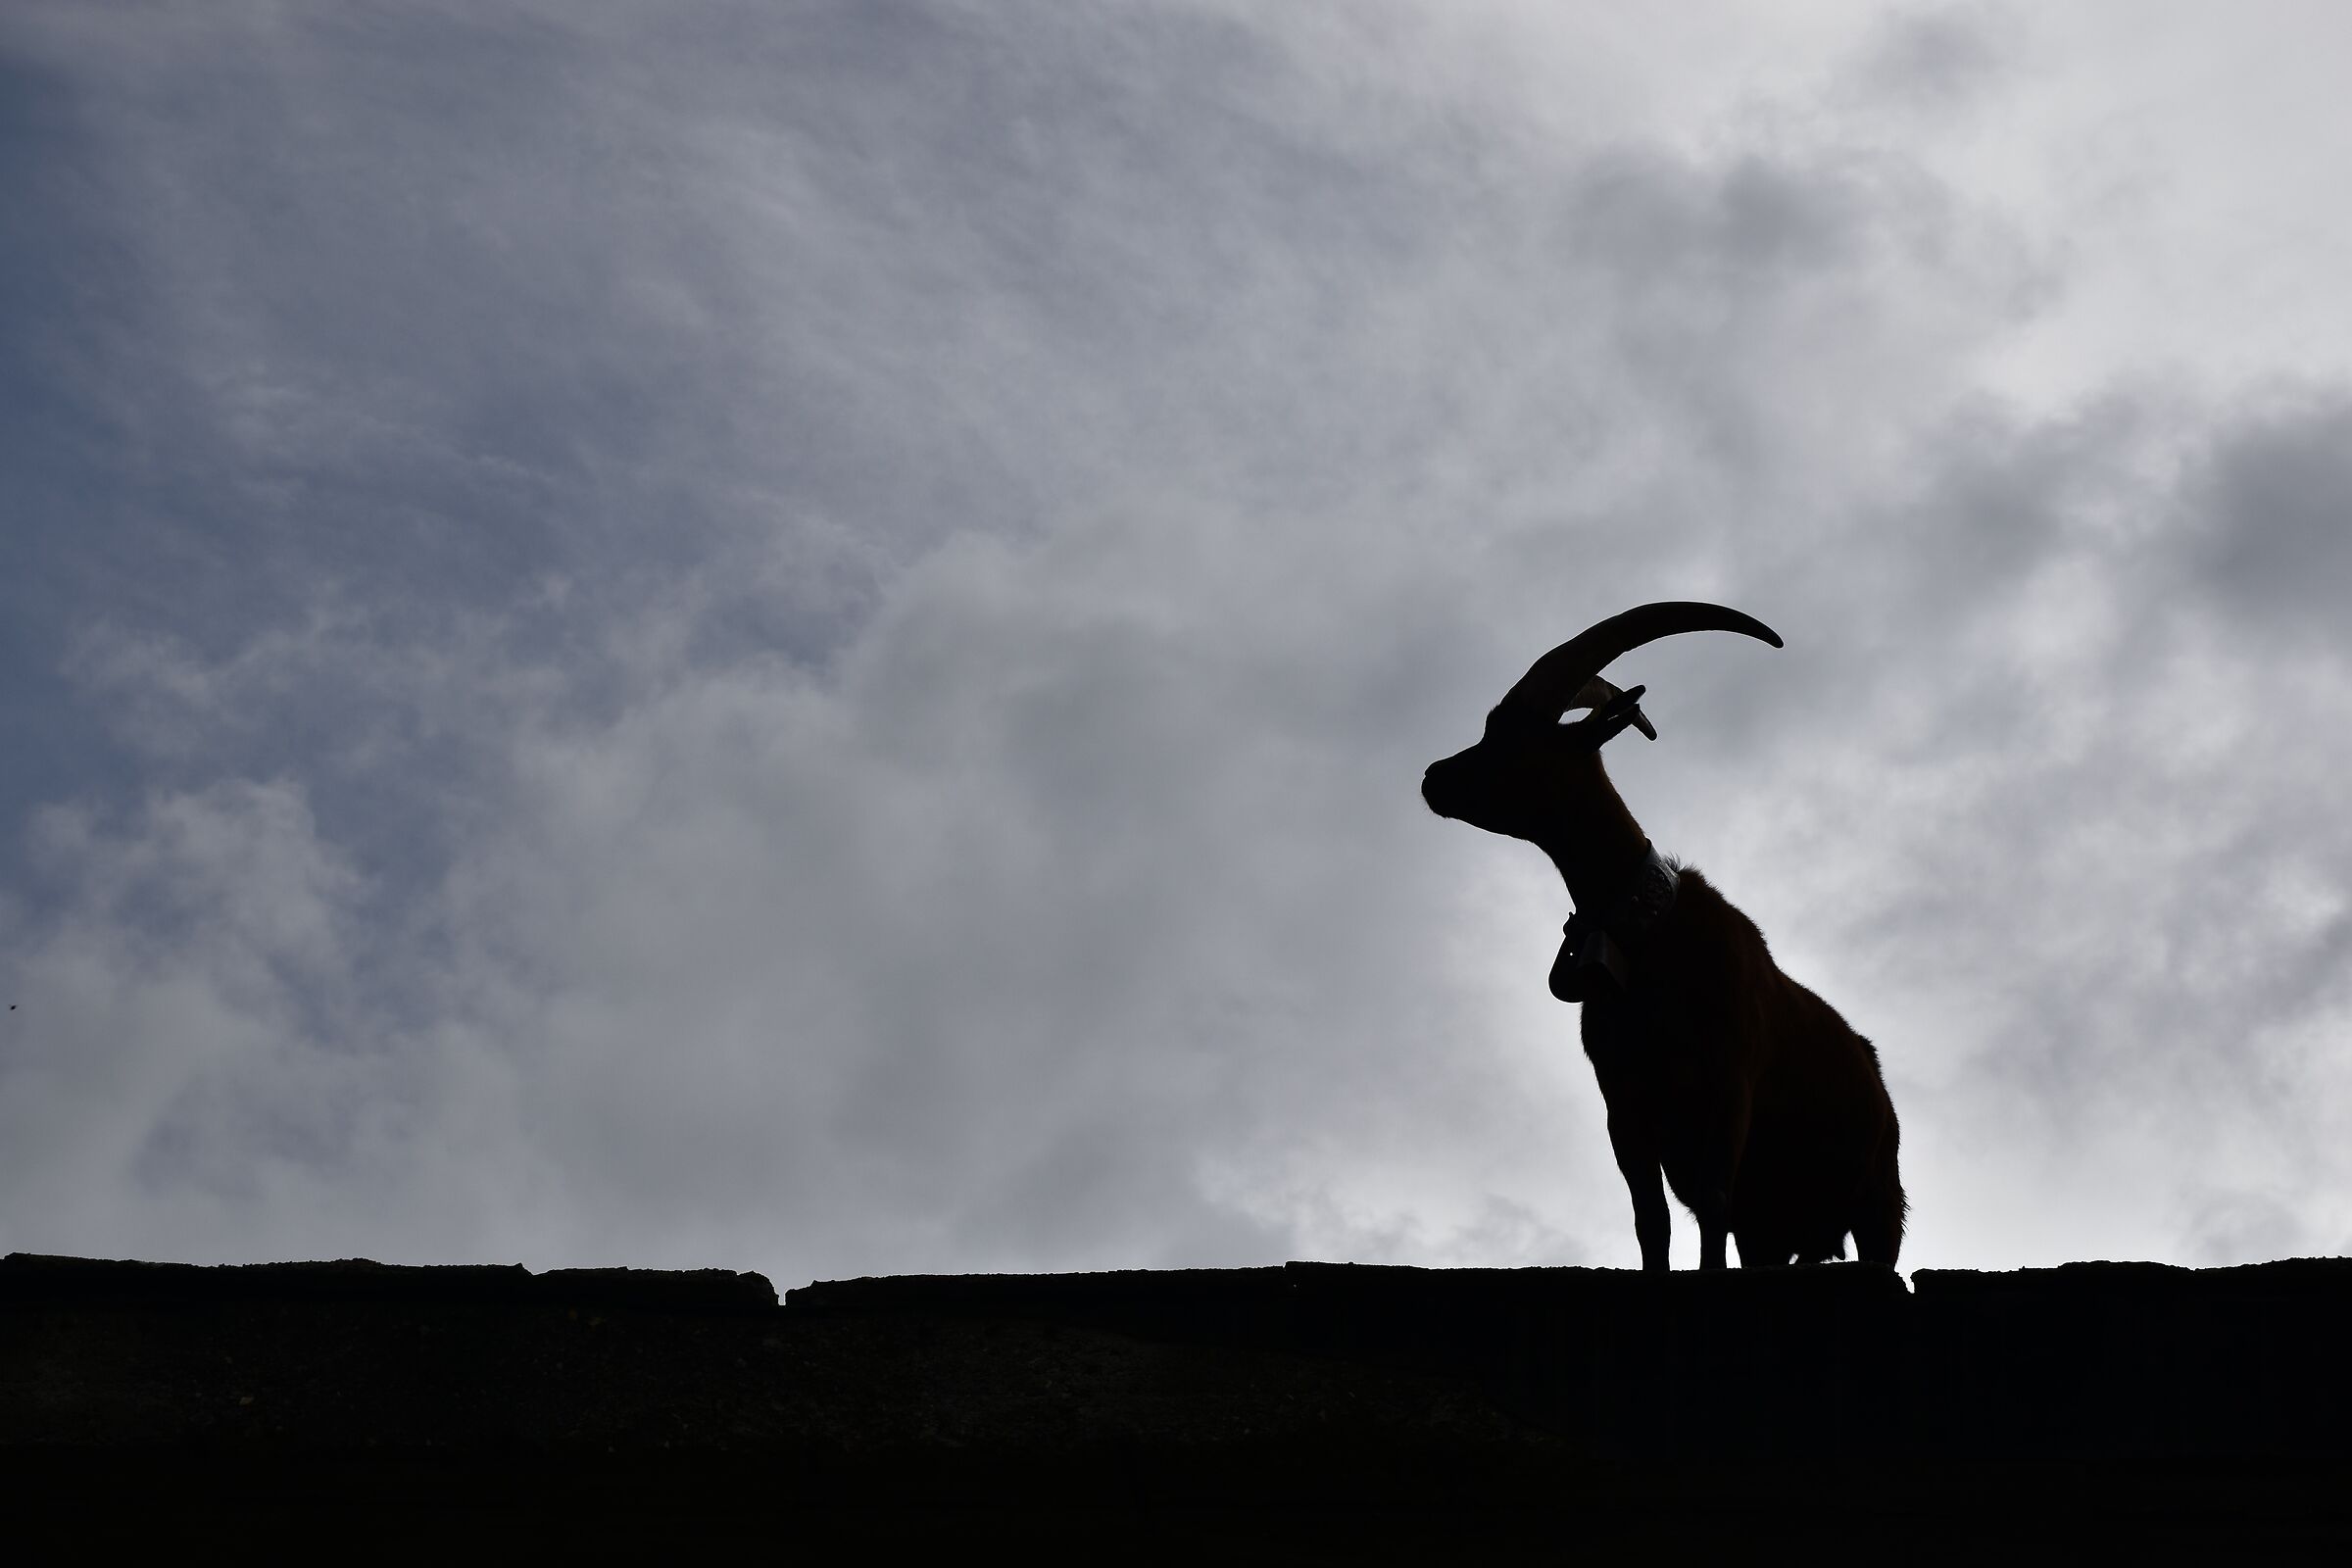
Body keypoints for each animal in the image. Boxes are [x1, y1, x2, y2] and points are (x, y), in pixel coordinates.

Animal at [1422, 602, 1904, 1271]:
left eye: (1514, 738)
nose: (1433, 777)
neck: (1649, 936)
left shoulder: (1729, 1083)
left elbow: (1713, 1200)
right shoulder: (1623, 1103)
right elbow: (1650, 1219)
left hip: (1879, 1196)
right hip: (1780, 1225)